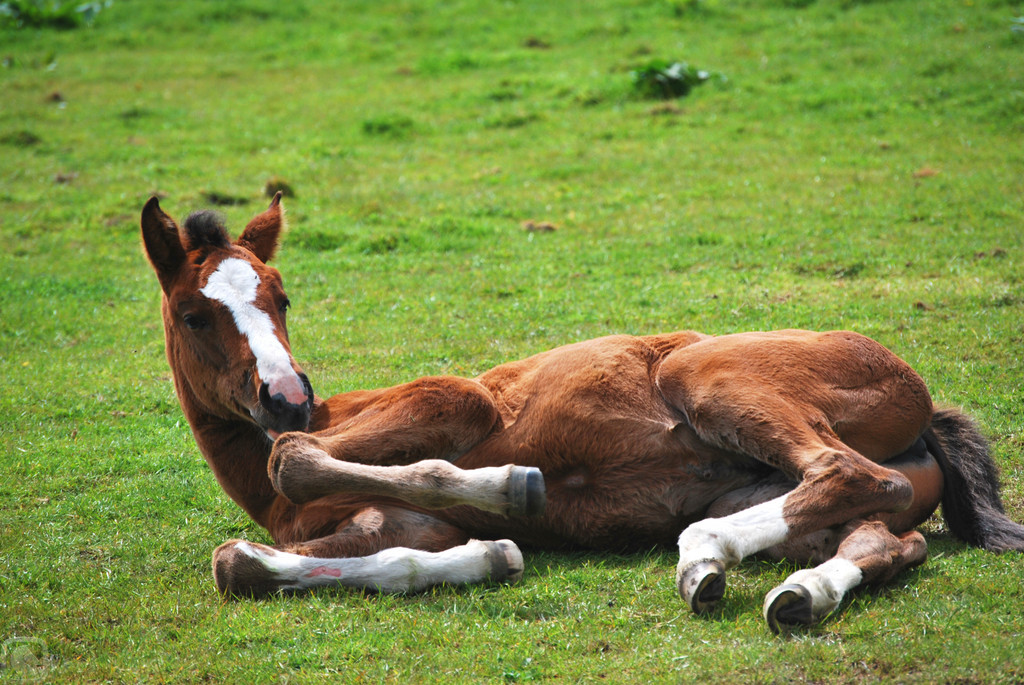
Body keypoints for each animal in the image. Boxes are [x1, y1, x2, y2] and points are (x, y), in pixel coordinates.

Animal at [140, 192, 1019, 630]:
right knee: (886, 535)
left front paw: (514, 488)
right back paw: (790, 592)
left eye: (281, 295)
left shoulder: (449, 399)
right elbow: (255, 561)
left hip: (706, 373)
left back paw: (704, 552)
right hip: (799, 496)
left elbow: (297, 459)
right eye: (193, 312)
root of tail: (925, 400)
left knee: (845, 469)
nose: (288, 397)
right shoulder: (392, 527)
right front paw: (494, 552)